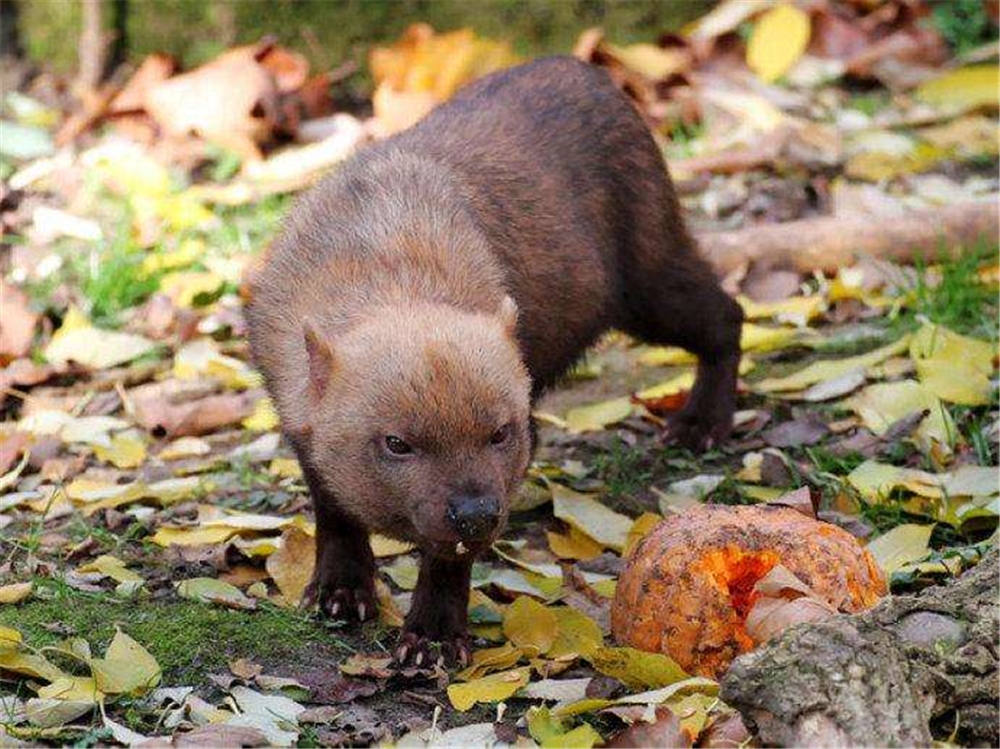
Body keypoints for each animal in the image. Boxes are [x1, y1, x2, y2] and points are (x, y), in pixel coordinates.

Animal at [244, 58, 744, 668]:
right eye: (397, 443)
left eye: (499, 433)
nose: (478, 513)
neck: (387, 266)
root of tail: (587, 69)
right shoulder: (296, 413)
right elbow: (333, 507)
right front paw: (338, 594)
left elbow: (448, 557)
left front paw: (432, 639)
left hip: (651, 282)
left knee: (728, 316)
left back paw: (700, 424)